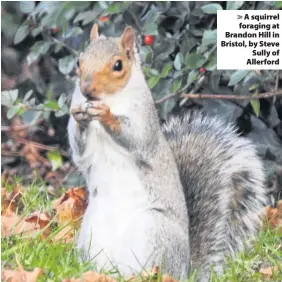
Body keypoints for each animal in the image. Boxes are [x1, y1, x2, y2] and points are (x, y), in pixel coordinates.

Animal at [67, 25, 268, 280]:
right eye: (78, 61)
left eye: (118, 65)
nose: (86, 90)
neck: (111, 99)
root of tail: (186, 271)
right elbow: (79, 151)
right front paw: (80, 117)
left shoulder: (144, 119)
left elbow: (138, 140)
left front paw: (107, 115)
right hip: (90, 232)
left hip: (155, 230)